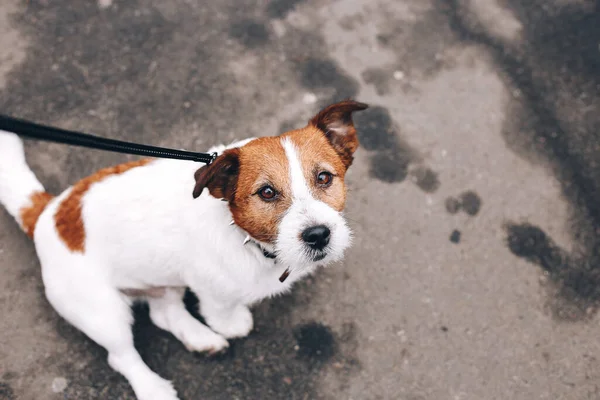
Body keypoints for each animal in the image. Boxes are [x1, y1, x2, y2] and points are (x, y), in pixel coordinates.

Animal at [0, 100, 366, 400]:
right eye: (266, 192)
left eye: (324, 177)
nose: (318, 236)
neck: (241, 234)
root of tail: (47, 212)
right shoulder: (210, 287)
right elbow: (221, 310)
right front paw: (231, 324)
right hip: (102, 312)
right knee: (121, 356)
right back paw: (153, 388)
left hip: (160, 279)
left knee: (164, 314)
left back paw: (201, 339)